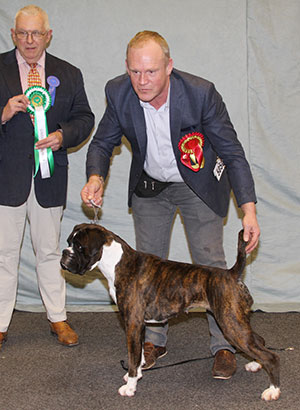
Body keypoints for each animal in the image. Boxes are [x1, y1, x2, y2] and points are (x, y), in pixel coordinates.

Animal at [61, 224, 282, 400]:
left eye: (79, 247)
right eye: (68, 241)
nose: (64, 252)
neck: (116, 262)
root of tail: (231, 274)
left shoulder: (132, 323)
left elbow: (132, 357)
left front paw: (130, 386)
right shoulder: (138, 325)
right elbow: (139, 354)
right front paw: (138, 374)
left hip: (230, 324)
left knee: (271, 356)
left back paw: (273, 390)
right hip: (237, 320)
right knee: (259, 340)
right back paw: (255, 364)